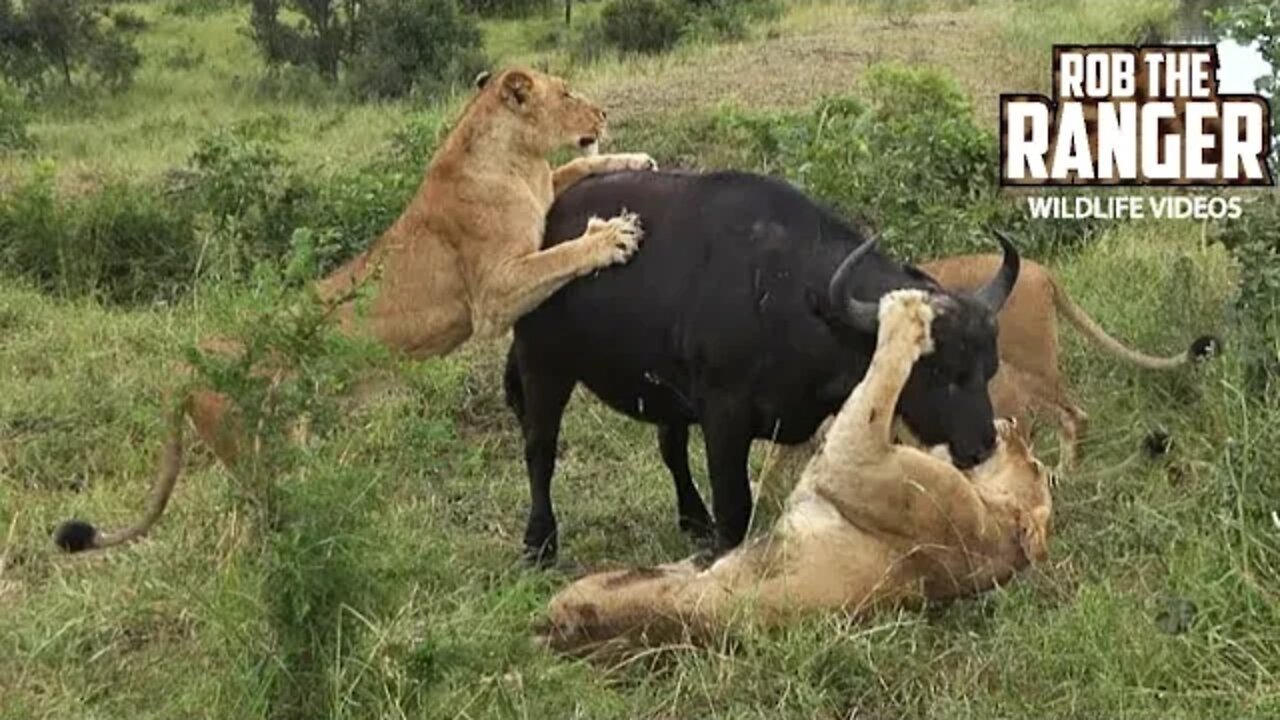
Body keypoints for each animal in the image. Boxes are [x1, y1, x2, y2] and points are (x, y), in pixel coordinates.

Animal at [53, 65, 655, 548]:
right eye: (567, 91)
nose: (603, 112)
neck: (513, 155)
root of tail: (188, 363)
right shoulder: (493, 295)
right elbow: (560, 254)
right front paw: (610, 236)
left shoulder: (541, 195)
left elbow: (572, 171)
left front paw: (636, 158)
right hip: (254, 450)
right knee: (258, 517)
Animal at [504, 167, 1013, 561]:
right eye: (937, 373)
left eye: (988, 368)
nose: (982, 446)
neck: (790, 293)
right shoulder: (723, 415)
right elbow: (735, 505)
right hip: (542, 364)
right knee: (540, 449)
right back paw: (540, 542)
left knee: (671, 448)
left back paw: (693, 518)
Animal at [537, 286, 1049, 655]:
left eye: (1036, 466)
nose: (1007, 426)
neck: (991, 524)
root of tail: (553, 631)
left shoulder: (861, 459)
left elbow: (881, 382)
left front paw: (907, 312)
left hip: (601, 589)